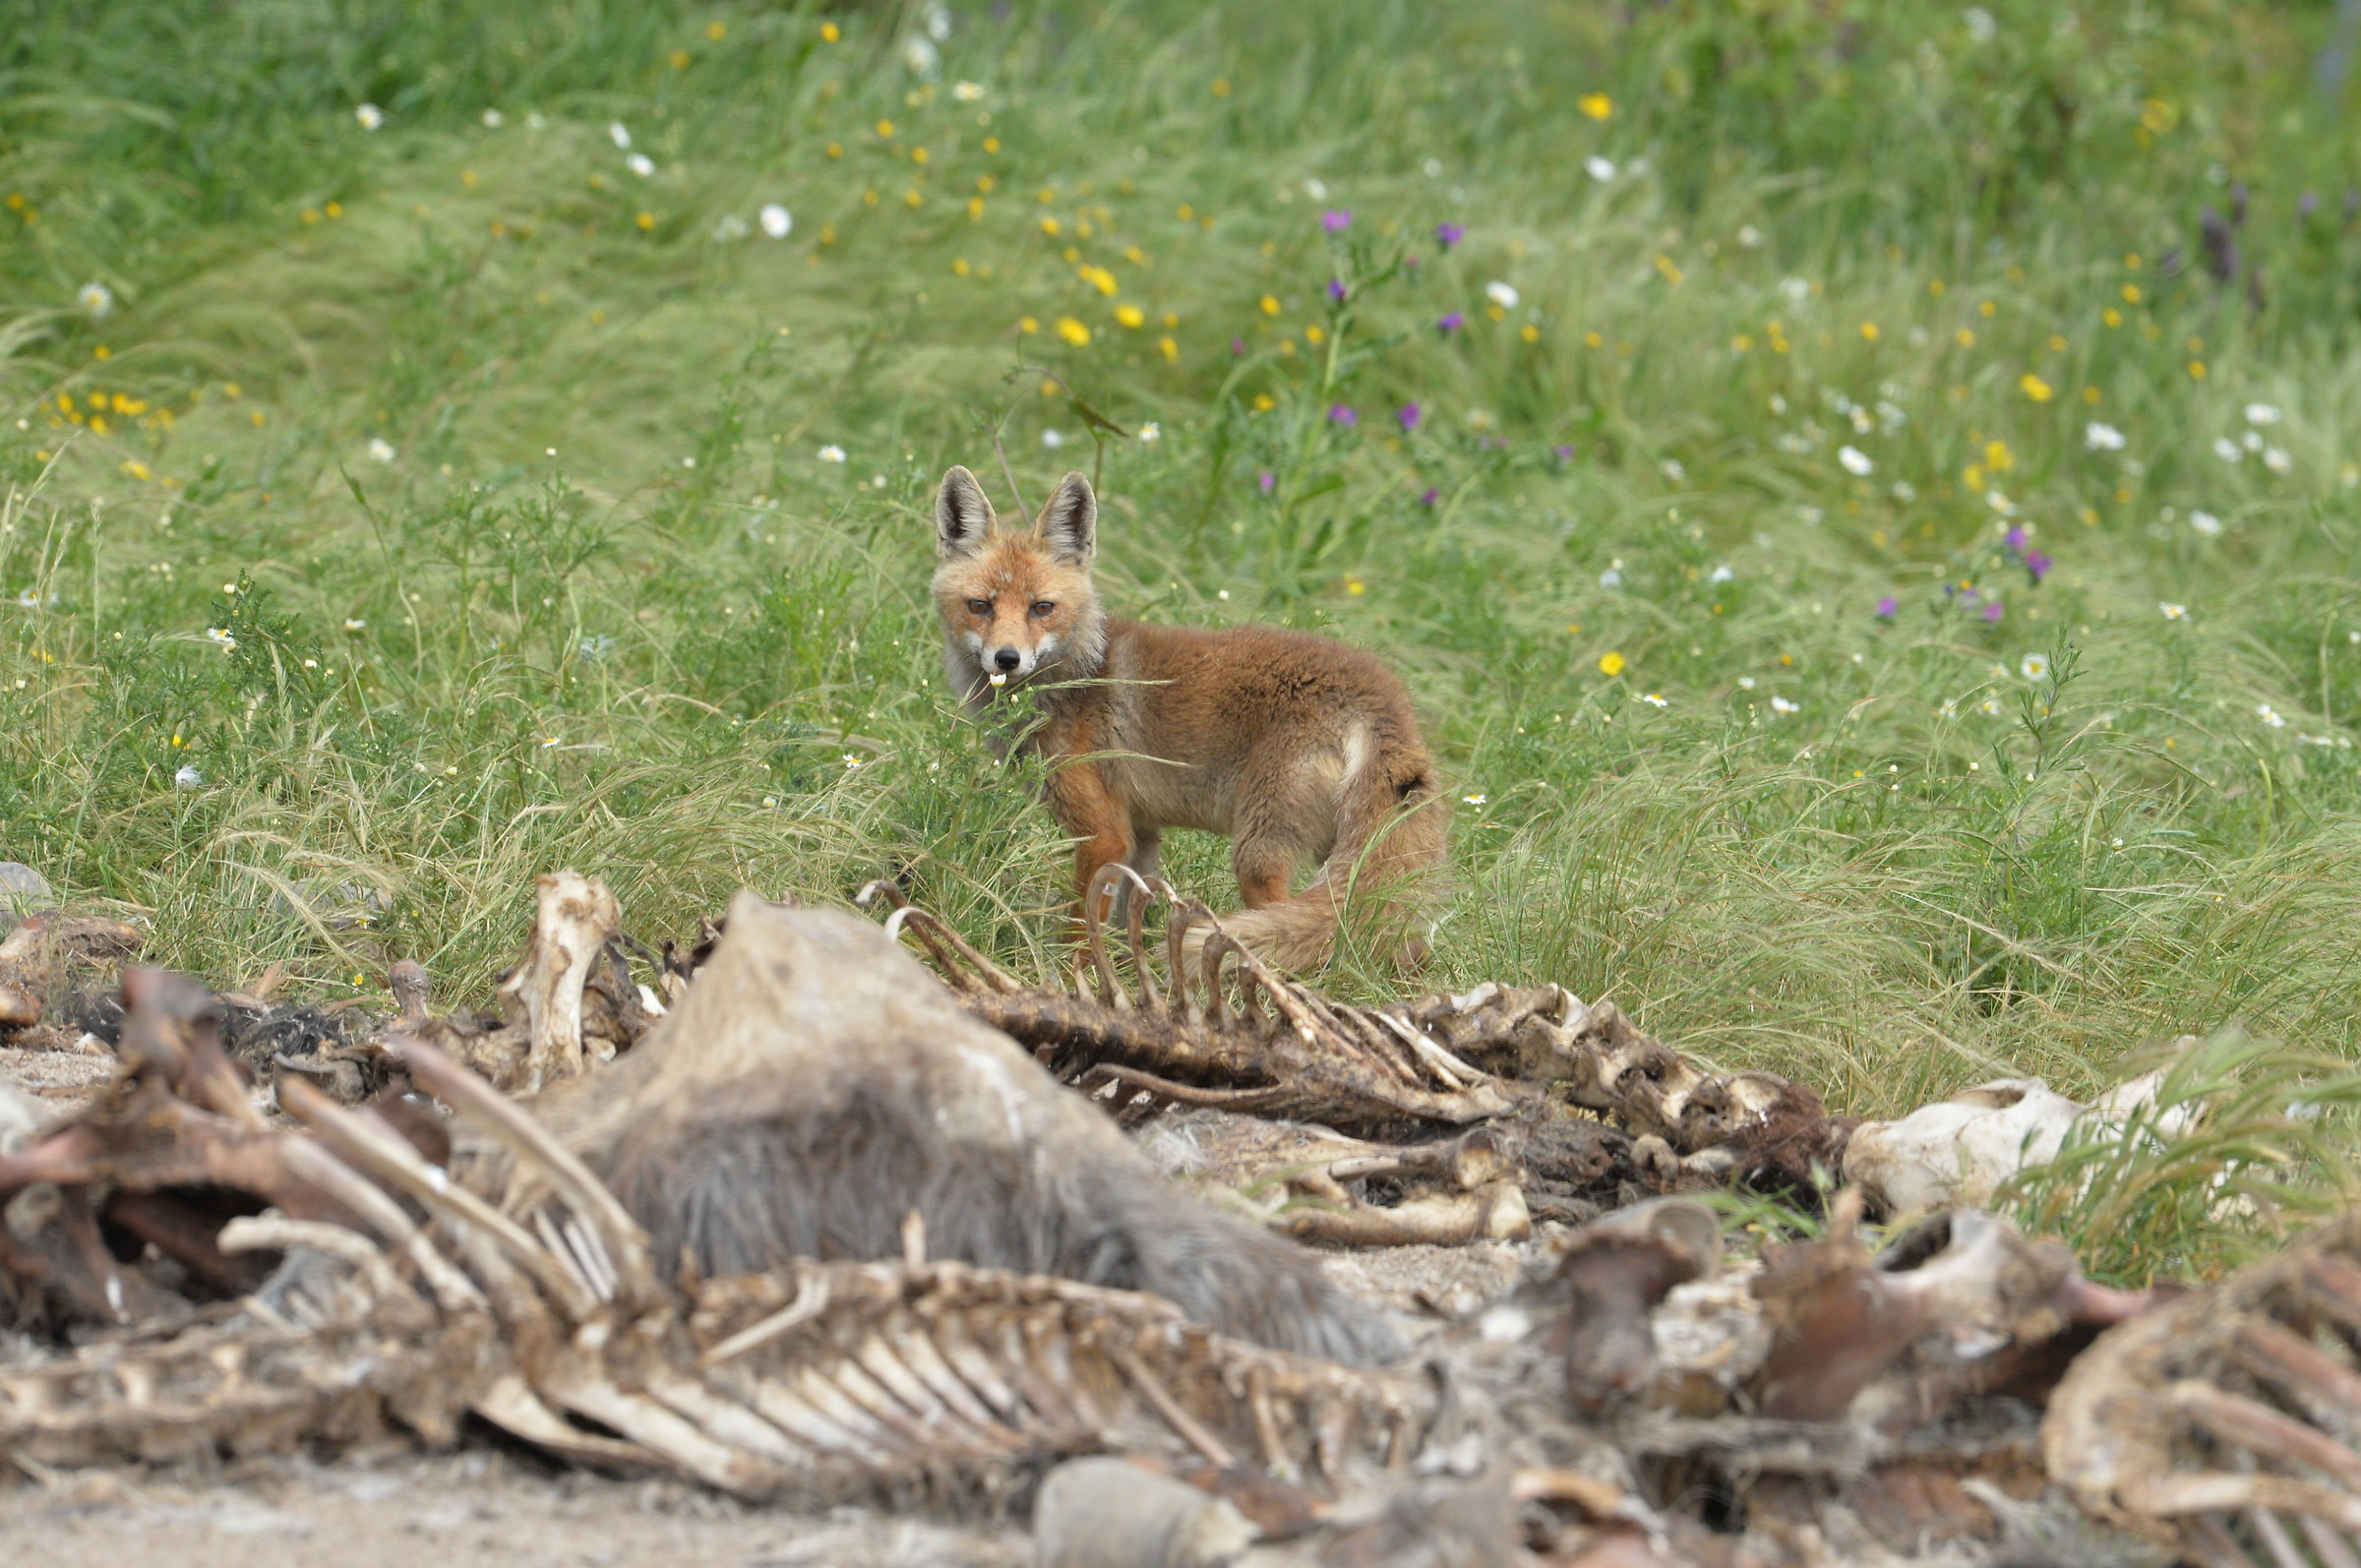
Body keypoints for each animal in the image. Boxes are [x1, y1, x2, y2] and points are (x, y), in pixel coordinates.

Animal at [929, 463, 1448, 970]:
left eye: (1042, 608)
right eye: (980, 606)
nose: (1007, 658)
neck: (1077, 677)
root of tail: (1382, 697)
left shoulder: (1103, 834)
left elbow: (1081, 932)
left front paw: (1072, 980)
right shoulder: (1138, 834)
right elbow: (1128, 923)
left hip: (1258, 854)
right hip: (1340, 852)